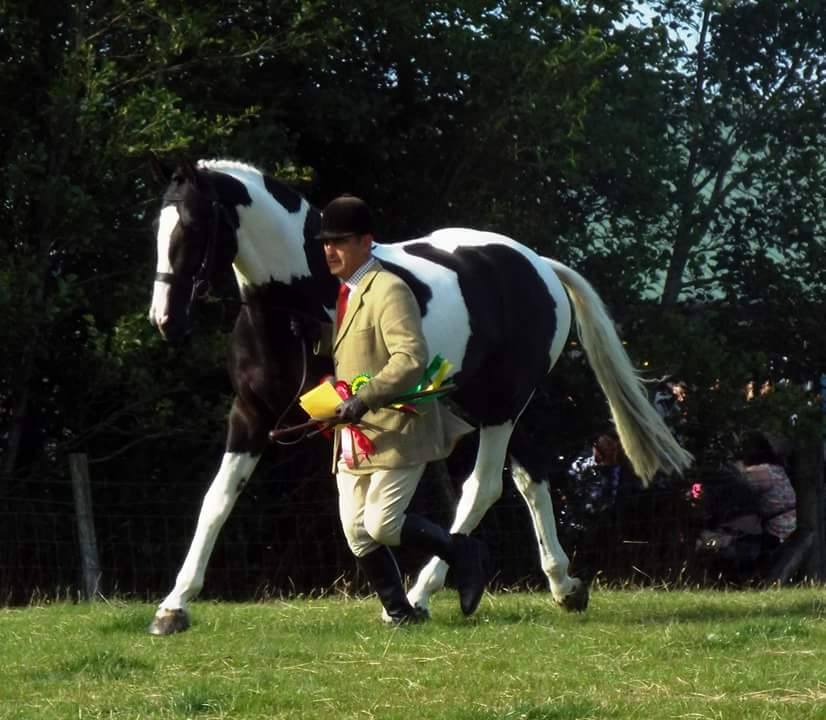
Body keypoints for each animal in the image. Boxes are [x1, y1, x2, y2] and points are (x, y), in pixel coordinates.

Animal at [146, 159, 688, 636]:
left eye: (192, 225)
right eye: (158, 227)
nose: (166, 320)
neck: (300, 305)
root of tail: (539, 266)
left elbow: (372, 514)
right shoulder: (252, 416)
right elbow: (218, 501)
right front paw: (173, 607)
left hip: (501, 407)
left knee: (482, 487)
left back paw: (424, 593)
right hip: (486, 404)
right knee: (531, 478)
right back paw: (564, 586)